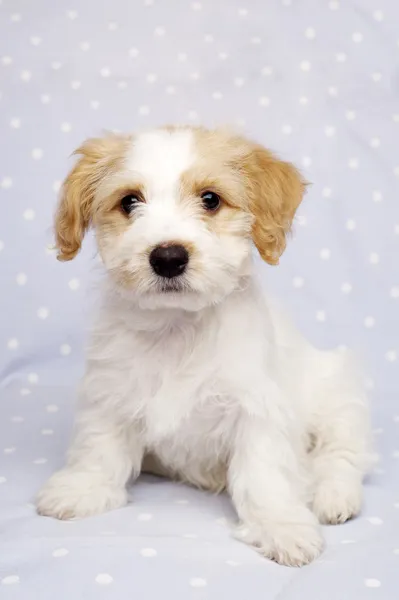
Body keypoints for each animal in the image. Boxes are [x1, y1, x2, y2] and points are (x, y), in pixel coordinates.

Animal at [36, 125, 374, 568]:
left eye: (210, 199)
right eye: (129, 201)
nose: (168, 257)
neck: (178, 327)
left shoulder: (257, 409)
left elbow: (266, 474)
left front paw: (281, 526)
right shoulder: (110, 392)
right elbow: (99, 446)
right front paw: (81, 488)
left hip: (338, 393)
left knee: (344, 452)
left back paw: (333, 496)